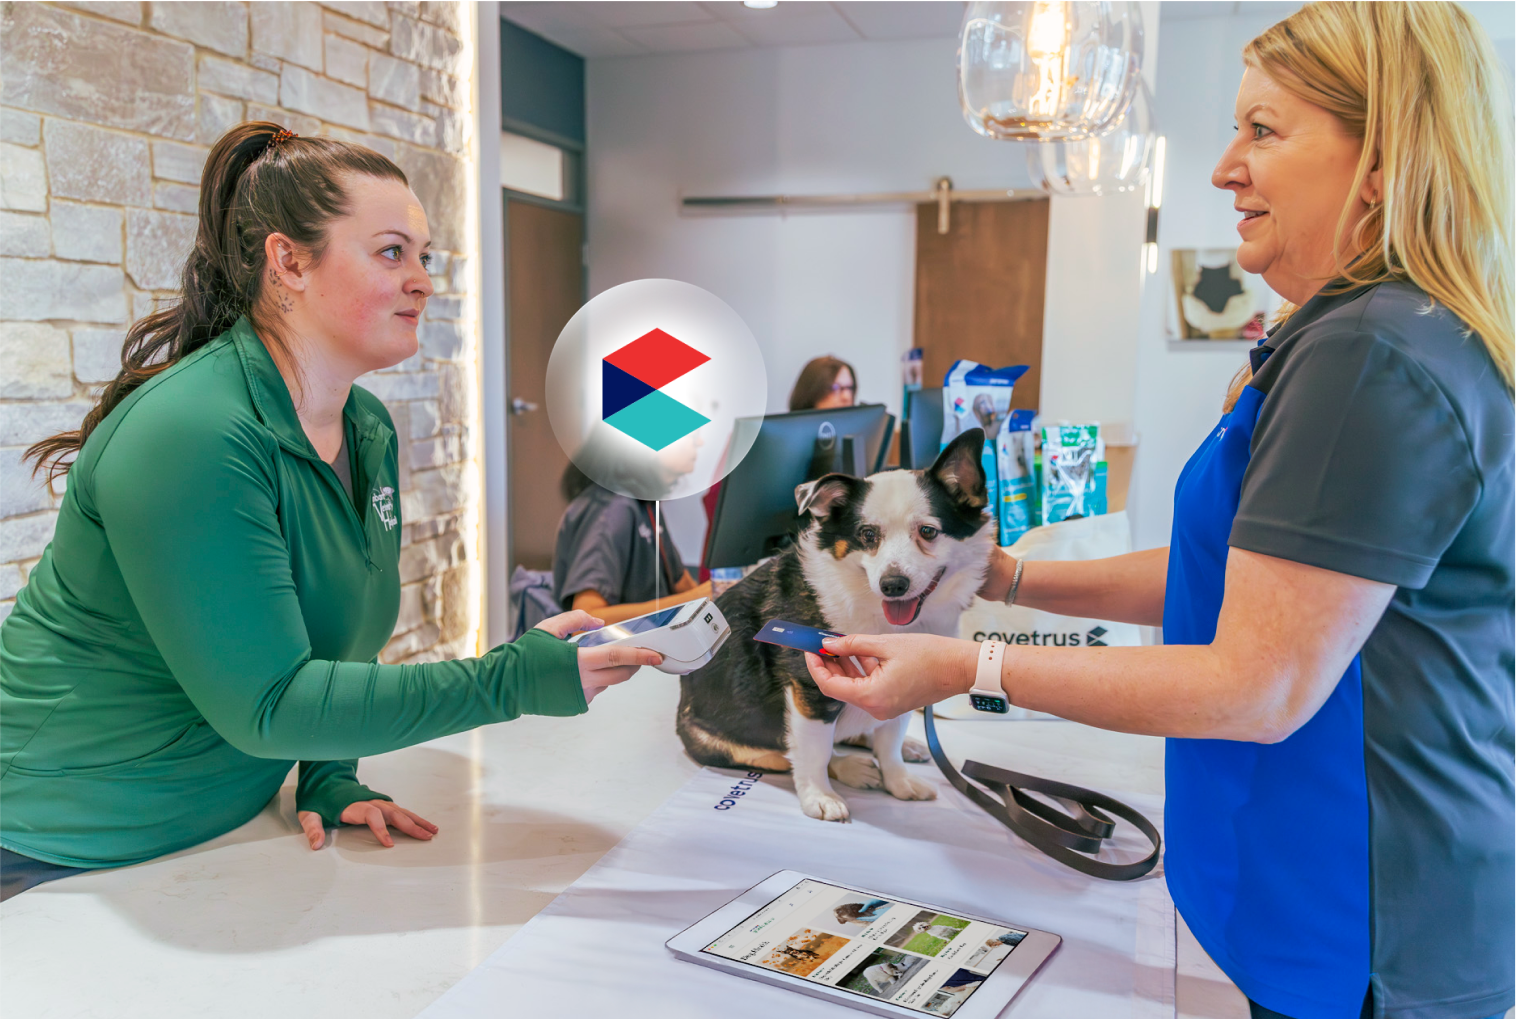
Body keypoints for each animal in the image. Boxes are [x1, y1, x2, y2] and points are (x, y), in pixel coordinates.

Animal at [676, 427, 995, 818]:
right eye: (868, 535)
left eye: (928, 532)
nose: (893, 584)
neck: (876, 612)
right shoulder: (808, 689)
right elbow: (815, 752)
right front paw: (819, 796)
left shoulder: (902, 683)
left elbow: (889, 741)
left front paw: (898, 780)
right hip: (721, 743)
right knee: (787, 752)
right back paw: (850, 767)